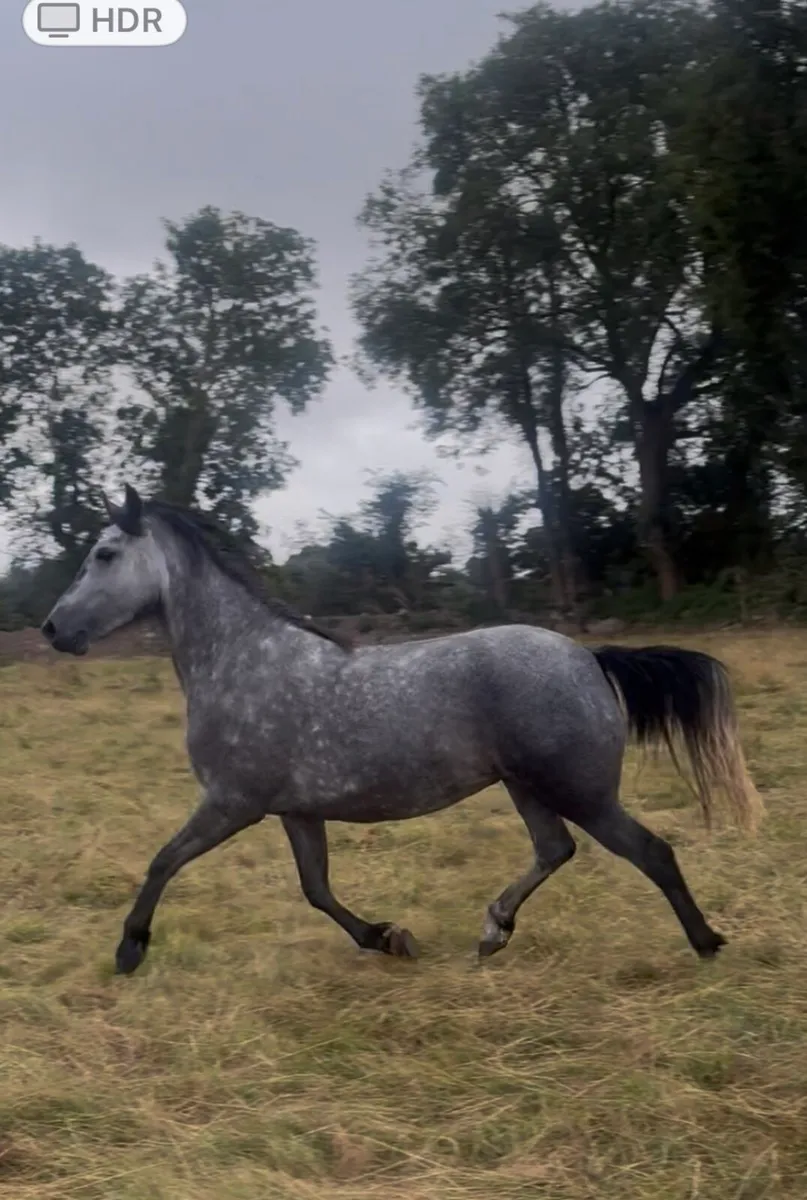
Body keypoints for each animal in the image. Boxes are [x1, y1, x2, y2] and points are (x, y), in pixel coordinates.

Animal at [41, 484, 763, 975]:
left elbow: (164, 860)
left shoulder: (231, 803)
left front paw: (130, 947)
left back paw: (706, 943)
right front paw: (388, 938)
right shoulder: (295, 811)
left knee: (651, 853)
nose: (53, 629)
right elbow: (316, 890)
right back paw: (493, 930)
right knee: (555, 850)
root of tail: (588, 657)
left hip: (580, 791)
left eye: (104, 553)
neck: (243, 660)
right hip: (527, 787)